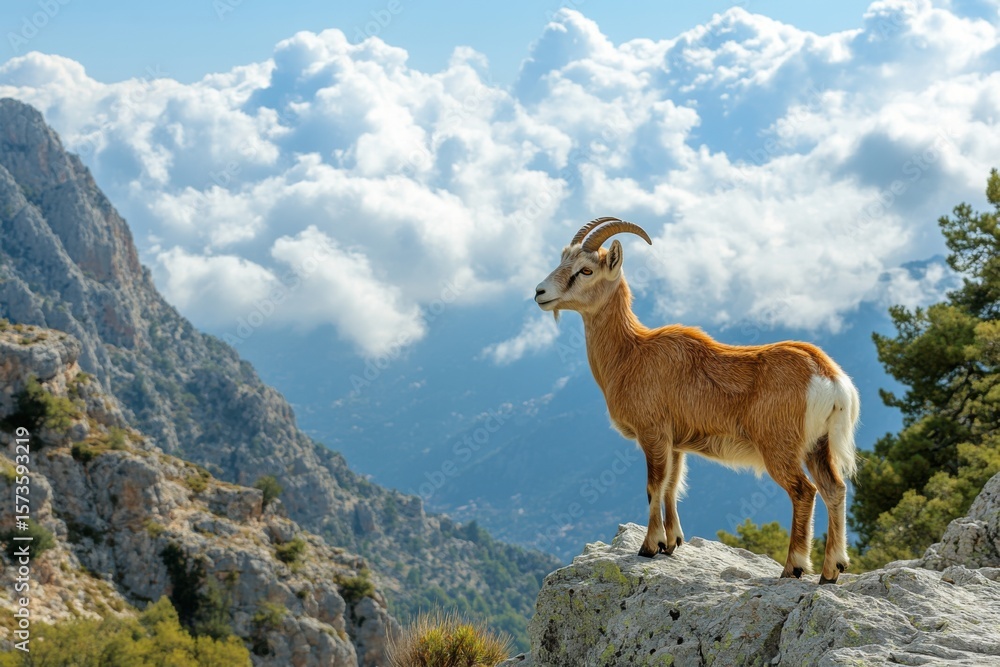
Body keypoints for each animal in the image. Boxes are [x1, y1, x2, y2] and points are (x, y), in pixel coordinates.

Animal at [534, 217, 859, 583]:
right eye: (563, 259)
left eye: (586, 270)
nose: (540, 292)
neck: (631, 354)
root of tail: (830, 379)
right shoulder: (675, 443)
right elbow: (672, 486)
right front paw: (671, 543)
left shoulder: (653, 433)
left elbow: (653, 486)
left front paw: (649, 547)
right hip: (819, 445)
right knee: (835, 489)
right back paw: (832, 570)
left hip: (781, 448)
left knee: (805, 492)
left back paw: (794, 567)